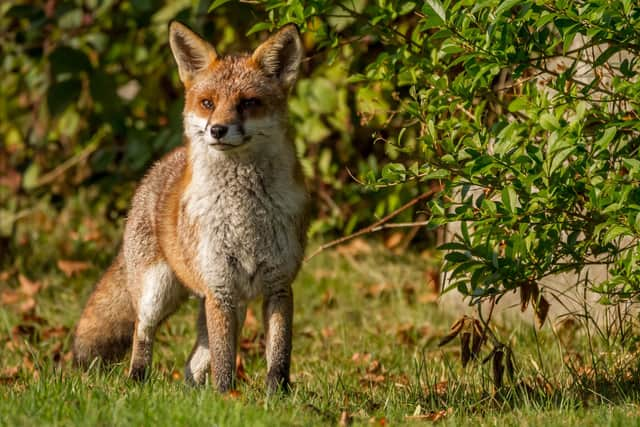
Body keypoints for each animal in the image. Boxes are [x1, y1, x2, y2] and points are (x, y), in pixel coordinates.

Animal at [71, 20, 308, 394]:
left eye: (249, 103)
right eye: (208, 103)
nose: (218, 130)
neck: (245, 218)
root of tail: (163, 162)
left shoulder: (278, 285)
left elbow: (279, 355)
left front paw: (276, 396)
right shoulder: (220, 288)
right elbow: (225, 361)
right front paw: (227, 397)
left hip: (228, 305)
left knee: (192, 361)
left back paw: (192, 394)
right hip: (158, 293)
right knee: (142, 333)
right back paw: (138, 381)